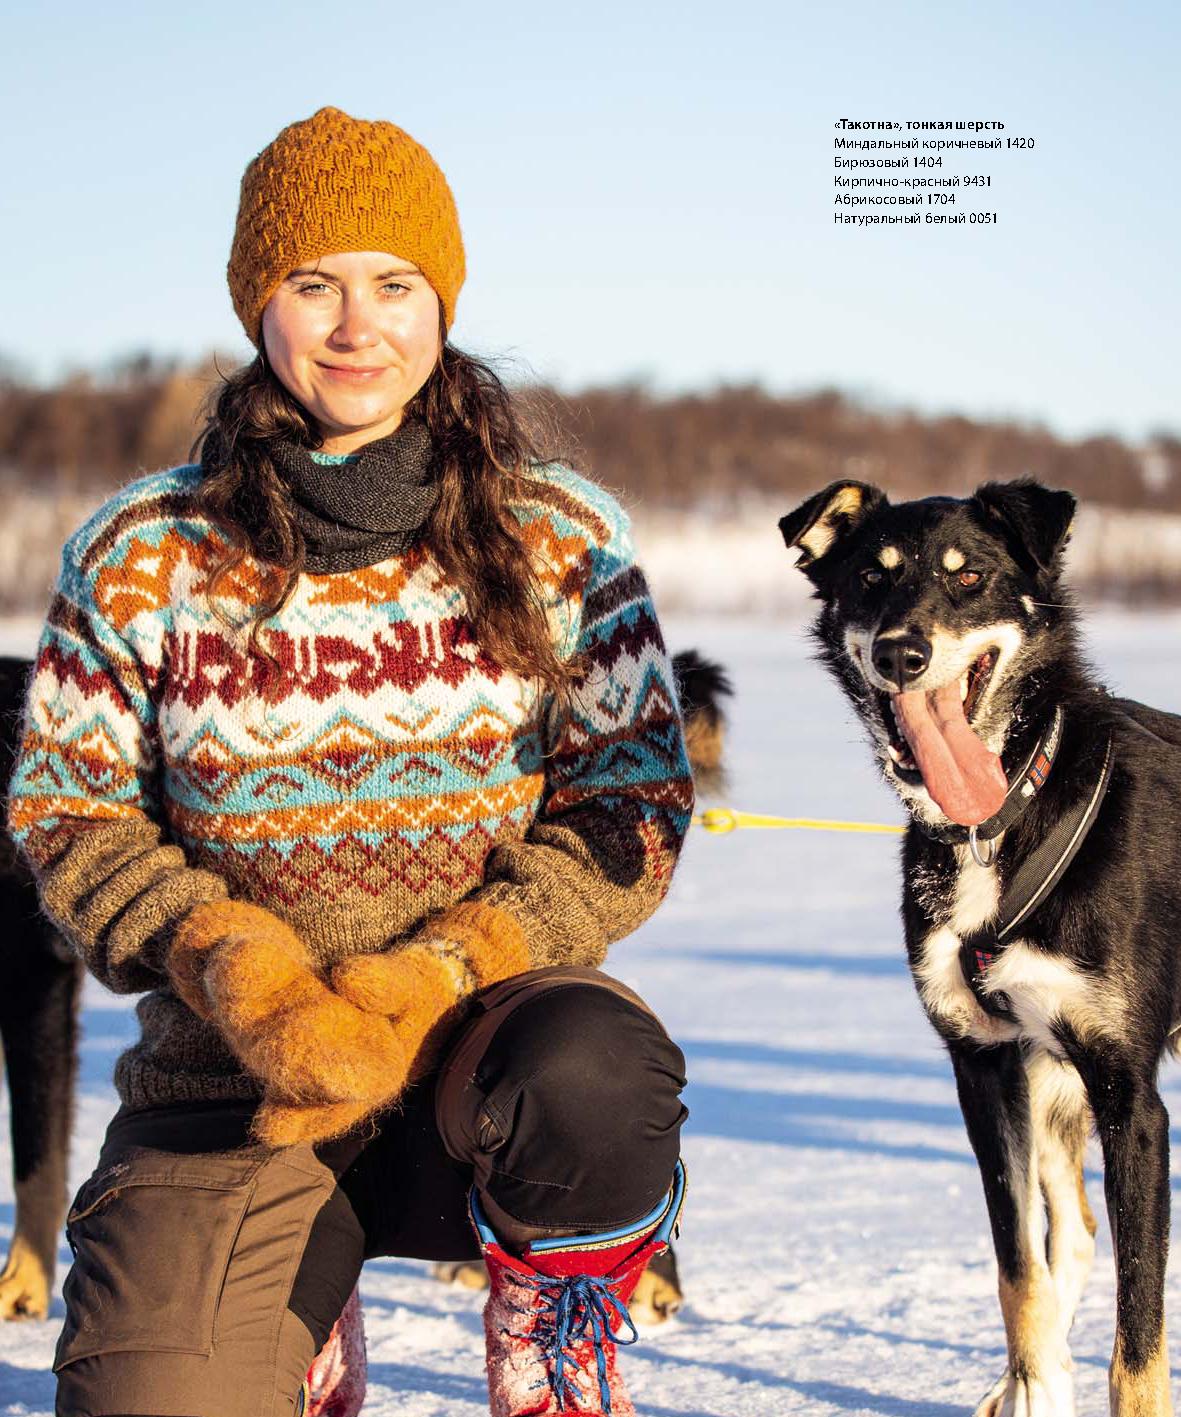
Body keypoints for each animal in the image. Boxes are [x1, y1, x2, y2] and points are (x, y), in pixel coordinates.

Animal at [782, 478, 1179, 1417]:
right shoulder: (986, 1068)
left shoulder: (1131, 1098)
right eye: (871, 578)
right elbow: (1017, 1268)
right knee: (1071, 1232)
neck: (1003, 817)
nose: (902, 653)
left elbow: (1137, 1332)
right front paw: (1034, 1380)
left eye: (969, 577)